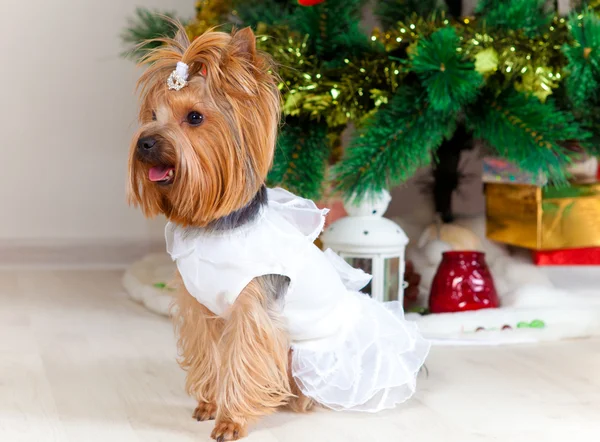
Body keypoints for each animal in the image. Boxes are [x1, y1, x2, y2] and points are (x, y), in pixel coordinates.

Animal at [130, 21, 432, 442]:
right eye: (152, 115)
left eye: (194, 118)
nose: (145, 142)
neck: (215, 229)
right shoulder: (199, 305)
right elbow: (209, 352)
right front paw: (208, 405)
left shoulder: (252, 309)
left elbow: (243, 359)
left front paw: (231, 421)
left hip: (306, 353)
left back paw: (299, 399)